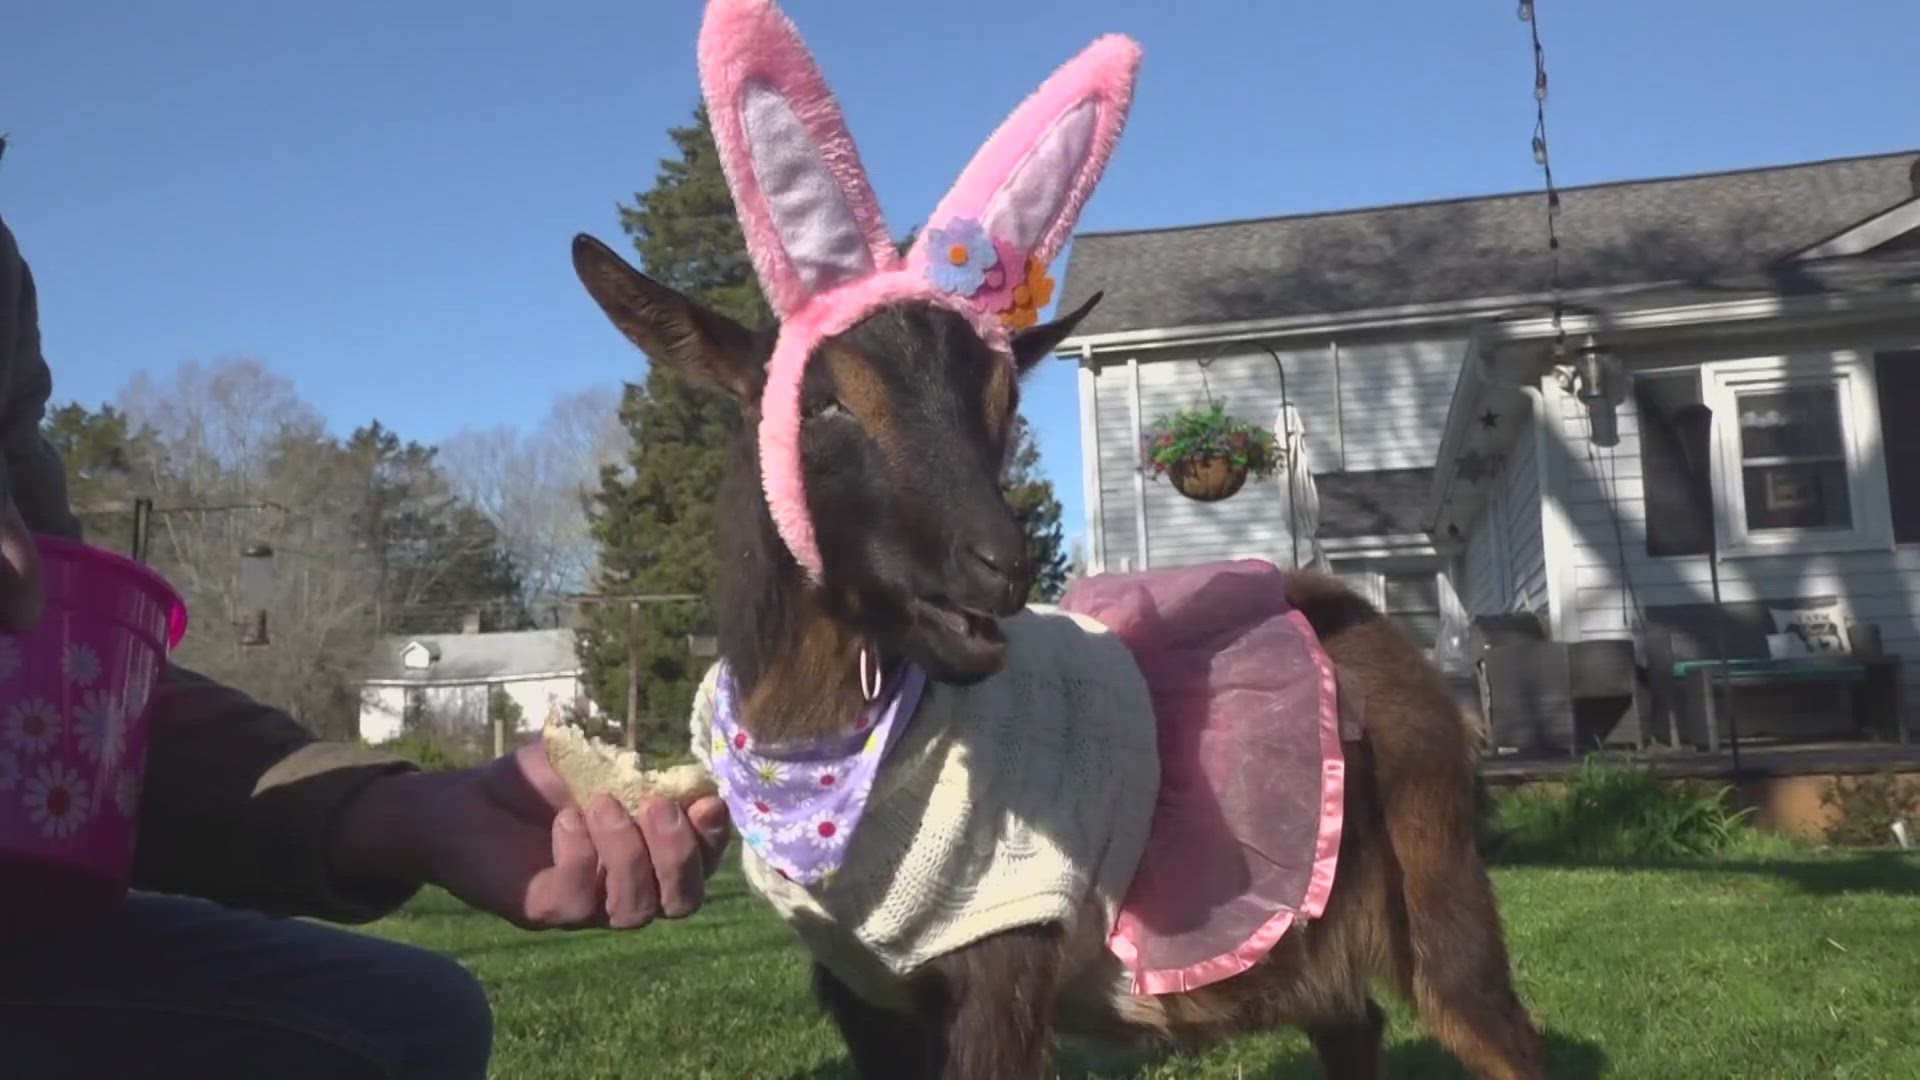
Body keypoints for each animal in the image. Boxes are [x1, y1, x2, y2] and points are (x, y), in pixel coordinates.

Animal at [568, 237, 1543, 1076]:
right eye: (820, 404)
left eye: (1004, 402)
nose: (1000, 563)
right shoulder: (862, 992)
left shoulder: (1003, 955)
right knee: (1355, 1021)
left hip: (1437, 876)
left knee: (1494, 1026)